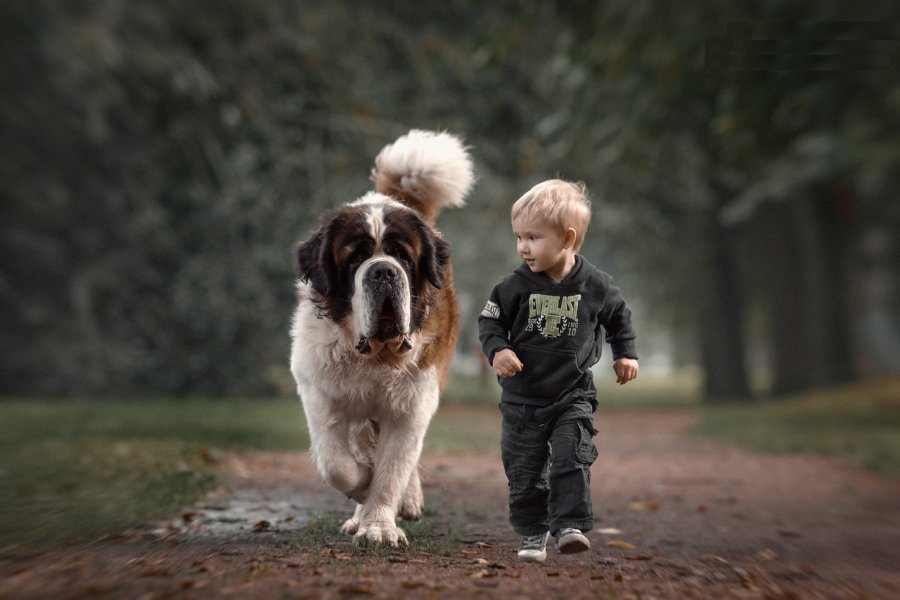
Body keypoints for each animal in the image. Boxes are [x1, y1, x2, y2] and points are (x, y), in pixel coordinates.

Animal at [290, 129, 474, 548]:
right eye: (356, 259)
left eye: (402, 258)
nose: (383, 272)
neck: (376, 354)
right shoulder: (319, 392)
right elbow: (336, 463)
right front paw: (362, 490)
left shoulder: (413, 404)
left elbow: (393, 469)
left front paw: (378, 525)